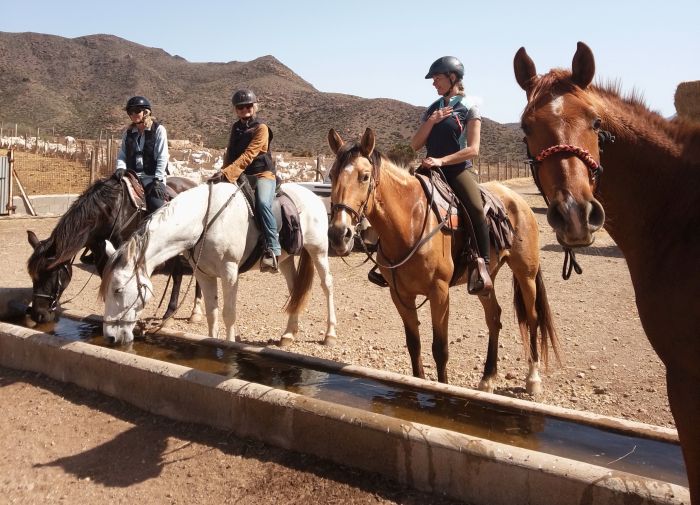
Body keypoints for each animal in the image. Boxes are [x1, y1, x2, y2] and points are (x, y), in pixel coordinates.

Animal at [27, 174, 202, 322]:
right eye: (33, 277)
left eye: (49, 275)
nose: (38, 315)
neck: (108, 212)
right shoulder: (101, 257)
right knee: (178, 273)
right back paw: (170, 311)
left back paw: (195, 313)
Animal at [100, 181, 338, 346]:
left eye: (118, 290)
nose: (109, 337)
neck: (203, 221)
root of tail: (314, 197)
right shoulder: (204, 274)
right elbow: (212, 313)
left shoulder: (229, 271)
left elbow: (228, 313)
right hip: (287, 259)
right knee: (295, 289)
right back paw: (288, 334)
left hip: (319, 250)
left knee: (327, 285)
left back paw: (330, 334)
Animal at [328, 127, 564, 394]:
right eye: (331, 175)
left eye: (364, 176)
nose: (339, 234)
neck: (410, 222)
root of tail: (517, 200)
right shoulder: (400, 295)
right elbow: (414, 345)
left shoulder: (439, 292)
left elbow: (440, 349)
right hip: (486, 280)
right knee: (494, 318)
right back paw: (487, 378)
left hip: (526, 273)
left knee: (532, 318)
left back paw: (533, 379)